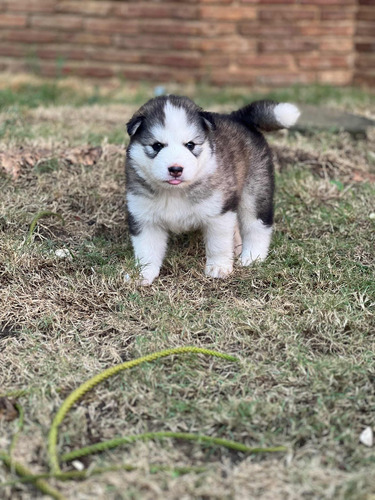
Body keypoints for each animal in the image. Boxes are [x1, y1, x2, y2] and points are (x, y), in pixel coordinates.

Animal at [125, 96, 300, 286]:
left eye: (190, 145)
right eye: (157, 146)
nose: (176, 169)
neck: (175, 191)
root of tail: (237, 117)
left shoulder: (219, 212)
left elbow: (218, 244)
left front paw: (218, 267)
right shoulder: (144, 217)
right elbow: (146, 250)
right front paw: (142, 274)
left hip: (255, 191)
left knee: (257, 225)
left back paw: (252, 256)